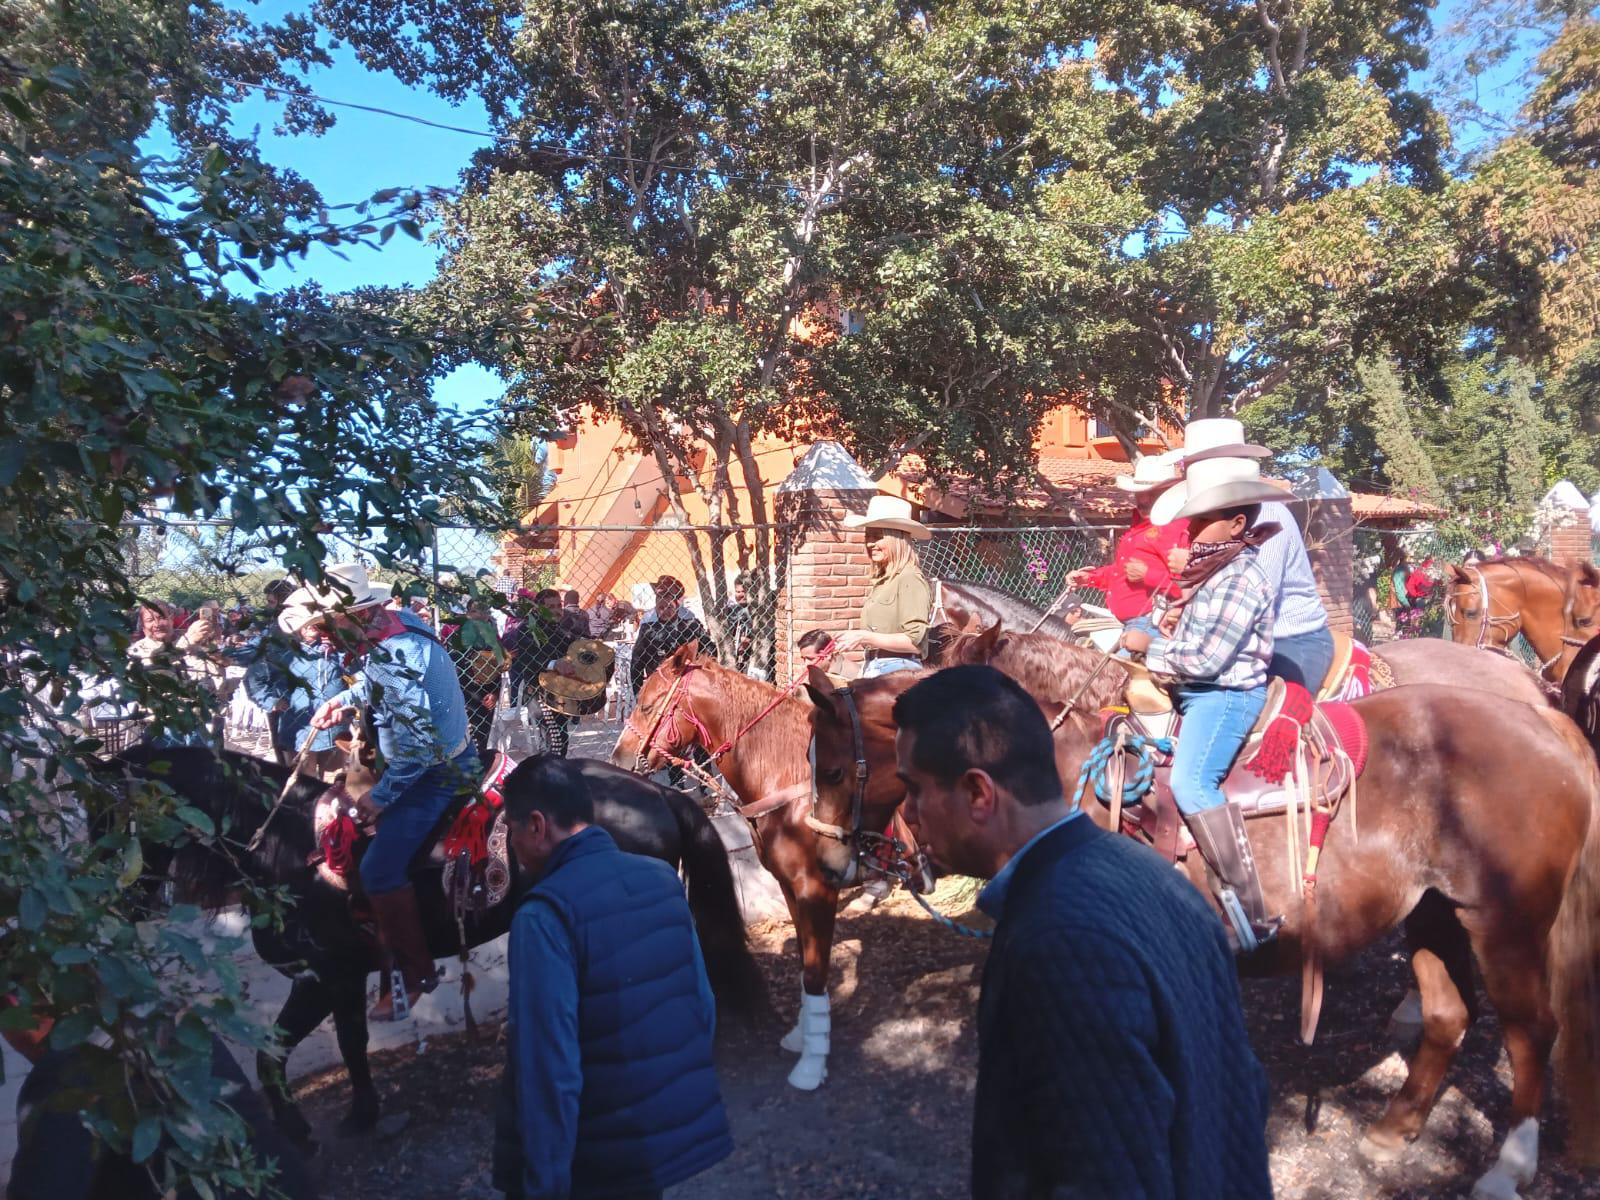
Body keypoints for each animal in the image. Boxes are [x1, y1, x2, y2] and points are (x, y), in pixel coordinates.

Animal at [109, 748, 764, 1152]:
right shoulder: (341, 979)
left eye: (114, 814)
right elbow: (344, 1045)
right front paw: (360, 1112)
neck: (291, 849)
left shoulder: (322, 977)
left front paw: (303, 1130)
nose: (116, 906)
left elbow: (286, 1055)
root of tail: (654, 790)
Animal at [608, 643, 915, 1094]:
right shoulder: (791, 887)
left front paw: (811, 1065)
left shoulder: (816, 888)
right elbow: (806, 962)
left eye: (647, 704)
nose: (619, 759)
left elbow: (815, 971)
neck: (791, 779)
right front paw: (802, 1036)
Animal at [806, 649, 1600, 1200]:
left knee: (1534, 1031)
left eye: (836, 770)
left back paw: (1507, 1167)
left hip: (1505, 921)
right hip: (1434, 913)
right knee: (1447, 1016)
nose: (831, 858)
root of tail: (1545, 717)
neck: (1070, 784)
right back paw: (1395, 1128)